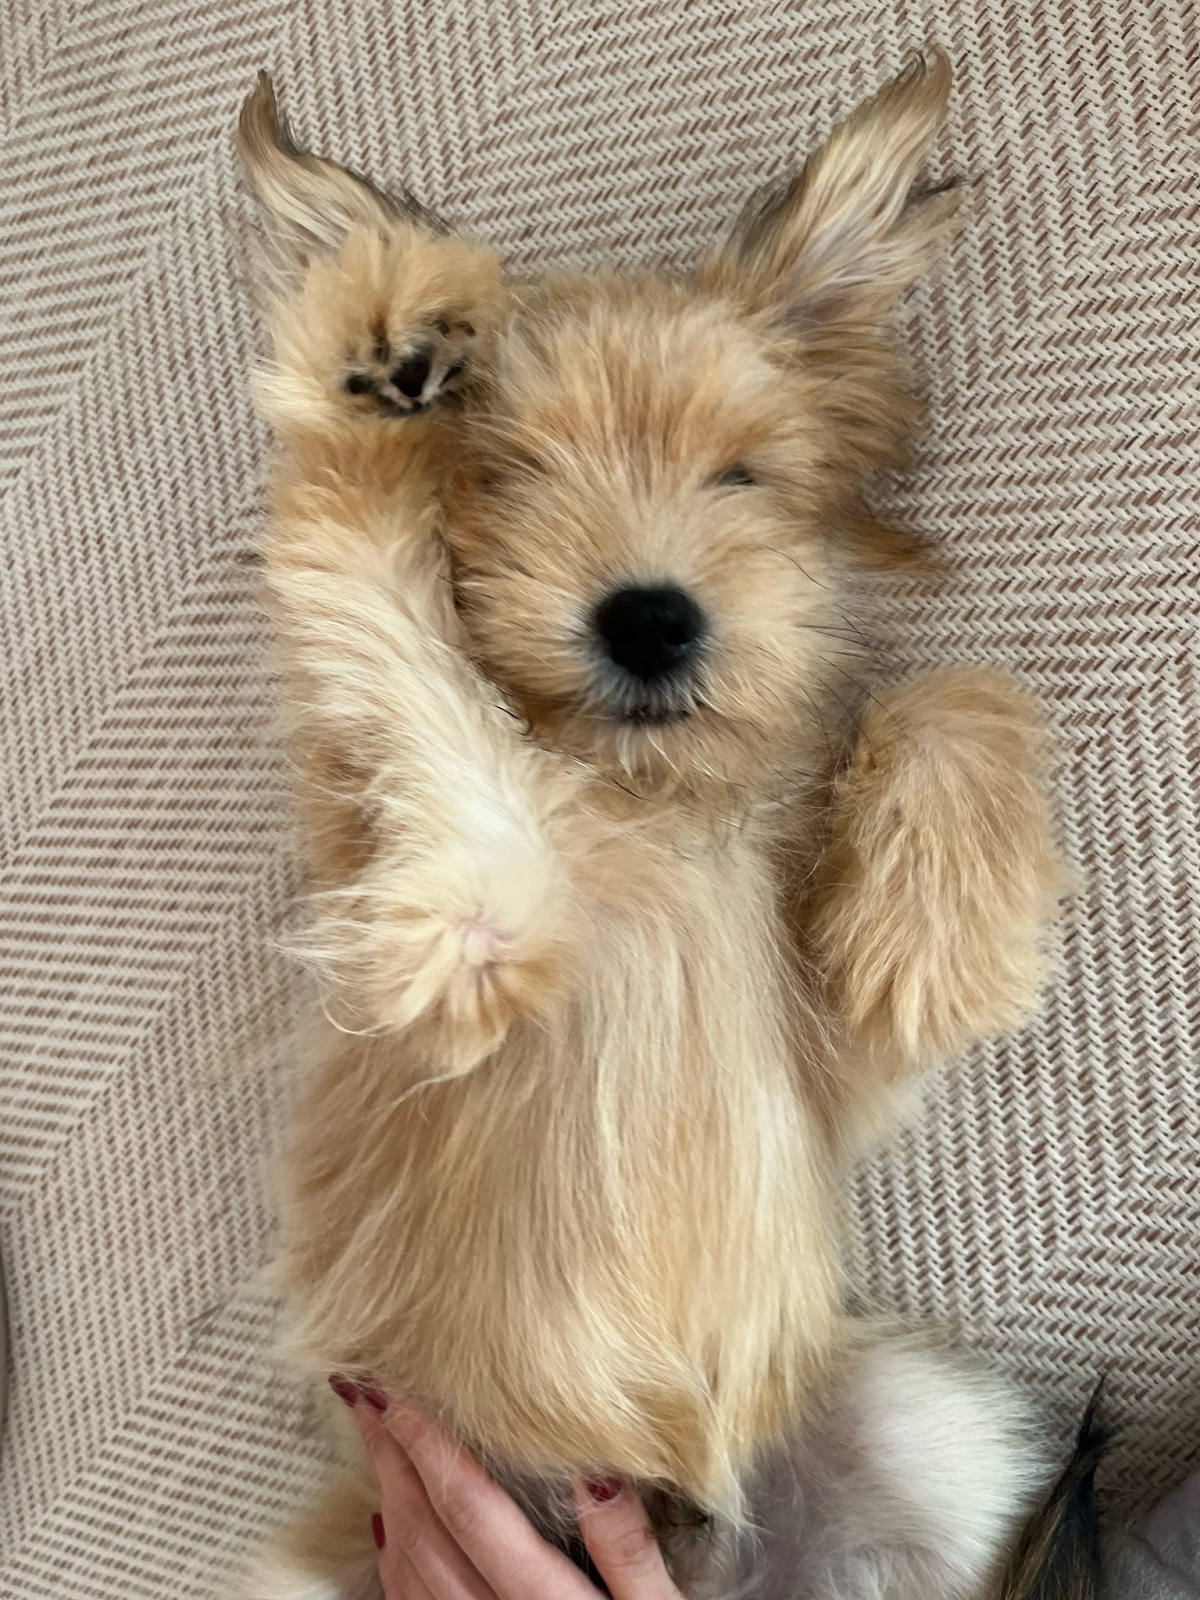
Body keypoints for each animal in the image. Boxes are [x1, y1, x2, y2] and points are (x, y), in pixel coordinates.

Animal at [230, 52, 1096, 1600]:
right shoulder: (434, 926)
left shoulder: (834, 1065)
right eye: (509, 475)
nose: (648, 618)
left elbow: (953, 691)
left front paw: (934, 930)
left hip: (938, 1435)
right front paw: (370, 364)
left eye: (741, 477)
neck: (641, 801)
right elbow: (395, 640)